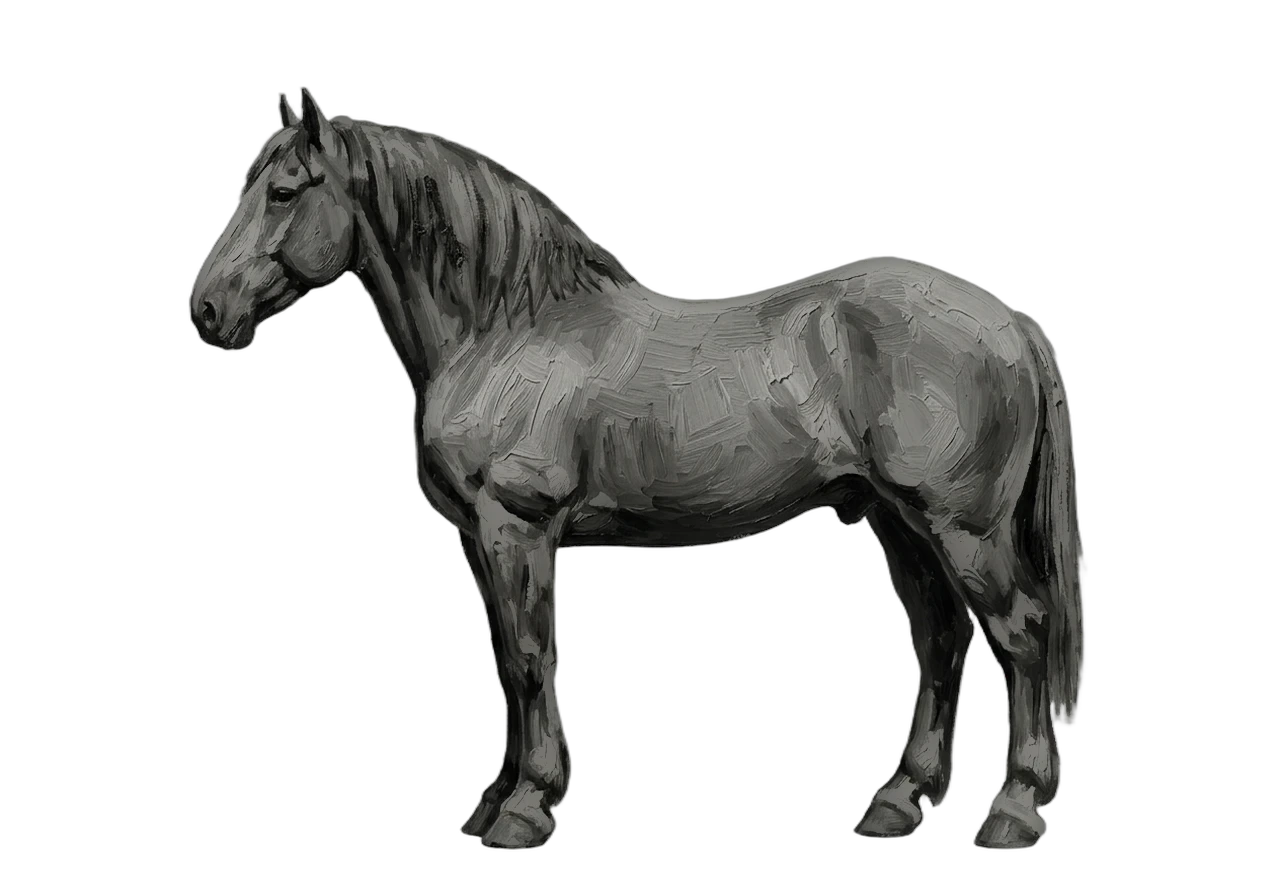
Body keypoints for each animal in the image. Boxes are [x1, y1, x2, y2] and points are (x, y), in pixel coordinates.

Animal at [187, 91, 1083, 850]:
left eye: (284, 192)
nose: (207, 310)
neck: (507, 328)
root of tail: (1009, 322)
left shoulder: (517, 527)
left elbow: (529, 659)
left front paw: (526, 810)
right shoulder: (482, 539)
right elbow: (506, 664)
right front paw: (492, 801)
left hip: (963, 529)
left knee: (1023, 636)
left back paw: (1014, 813)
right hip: (898, 522)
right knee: (939, 641)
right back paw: (899, 802)